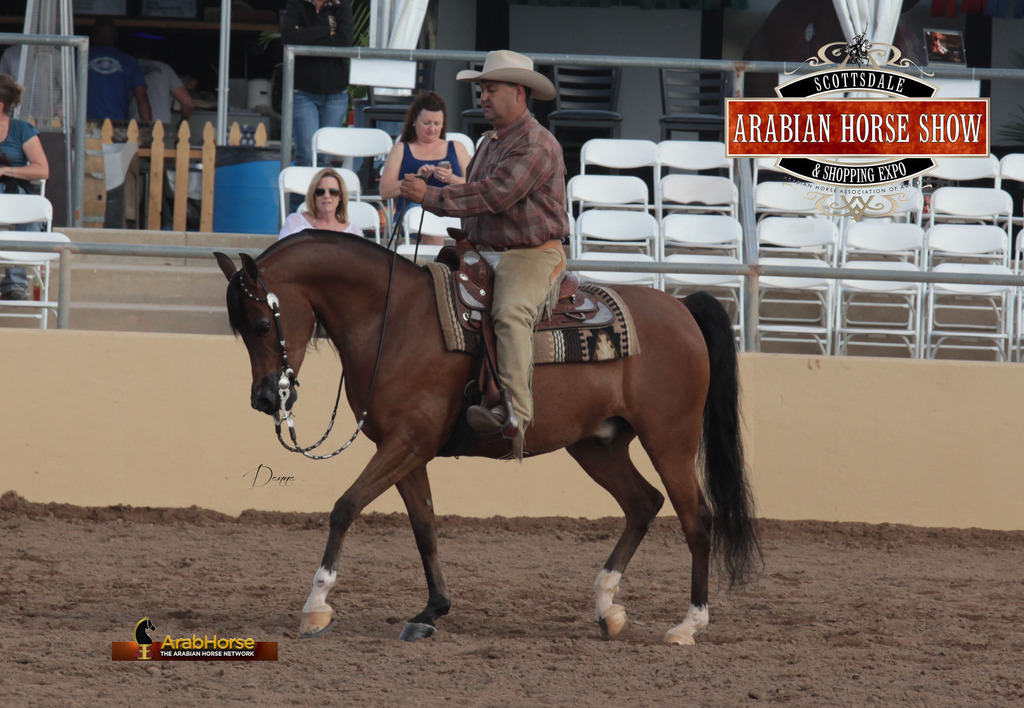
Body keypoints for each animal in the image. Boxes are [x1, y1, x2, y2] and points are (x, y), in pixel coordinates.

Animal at [214, 231, 759, 646]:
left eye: (260, 323)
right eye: (239, 327)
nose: (264, 397)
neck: (394, 319)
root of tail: (682, 309)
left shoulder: (405, 444)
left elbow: (345, 507)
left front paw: (316, 605)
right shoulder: (407, 450)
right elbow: (425, 528)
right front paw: (431, 611)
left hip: (670, 438)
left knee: (696, 518)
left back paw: (688, 625)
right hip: (597, 444)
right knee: (643, 503)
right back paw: (608, 608)